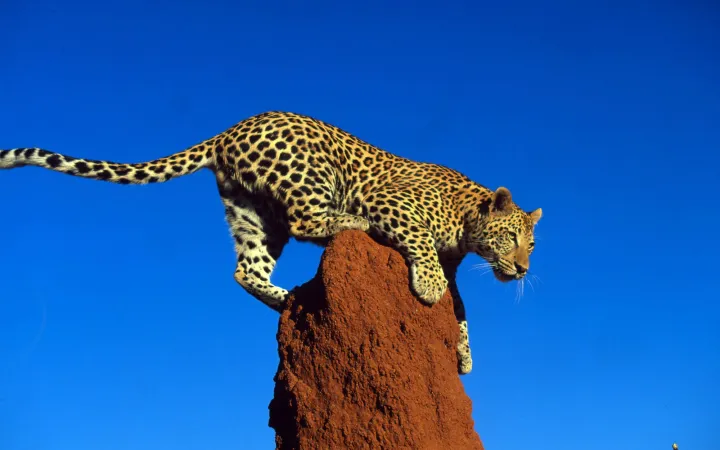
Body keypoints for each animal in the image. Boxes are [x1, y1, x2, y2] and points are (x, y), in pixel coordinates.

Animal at [1, 110, 543, 375]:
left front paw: (464, 355)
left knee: (246, 270)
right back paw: (349, 225)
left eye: (531, 246)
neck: (466, 220)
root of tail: (227, 130)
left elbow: (461, 309)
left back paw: (293, 304)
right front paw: (427, 289)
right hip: (308, 175)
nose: (522, 269)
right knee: (307, 222)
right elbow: (425, 255)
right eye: (513, 237)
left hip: (253, 213)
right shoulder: (391, 201)